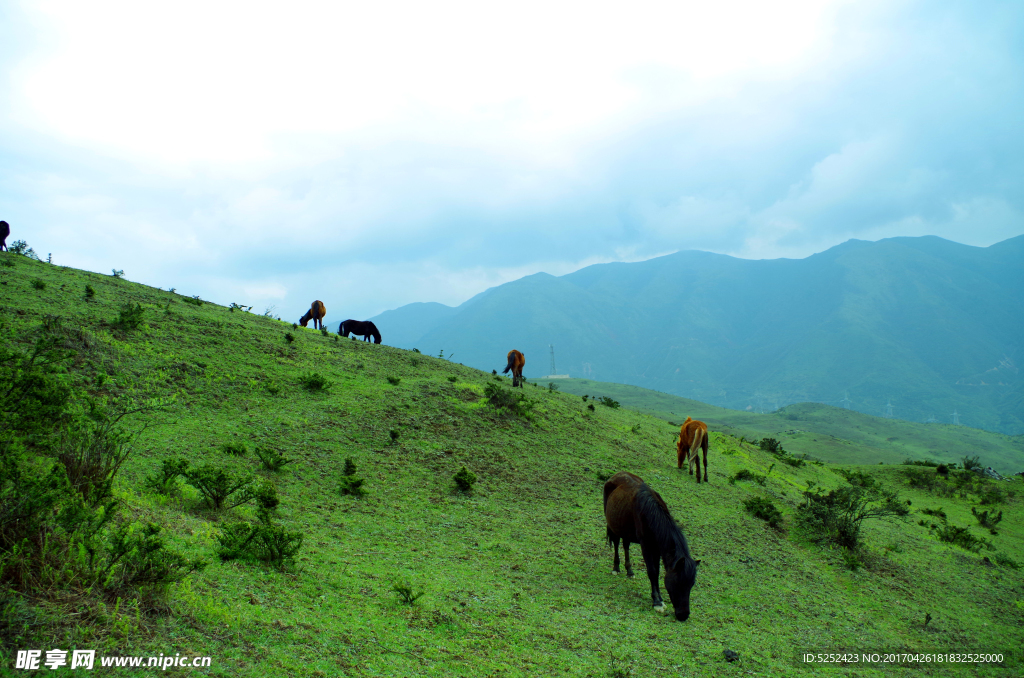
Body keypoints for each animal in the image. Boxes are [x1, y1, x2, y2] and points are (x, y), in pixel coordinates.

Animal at [602, 473, 700, 622]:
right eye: (678, 583)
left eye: (691, 584)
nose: (683, 615)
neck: (651, 513)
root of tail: (615, 475)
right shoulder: (646, 546)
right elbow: (652, 572)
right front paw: (657, 602)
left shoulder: (657, 549)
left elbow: (657, 572)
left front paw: (660, 598)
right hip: (614, 525)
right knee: (617, 543)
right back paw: (616, 568)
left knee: (625, 545)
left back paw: (629, 570)